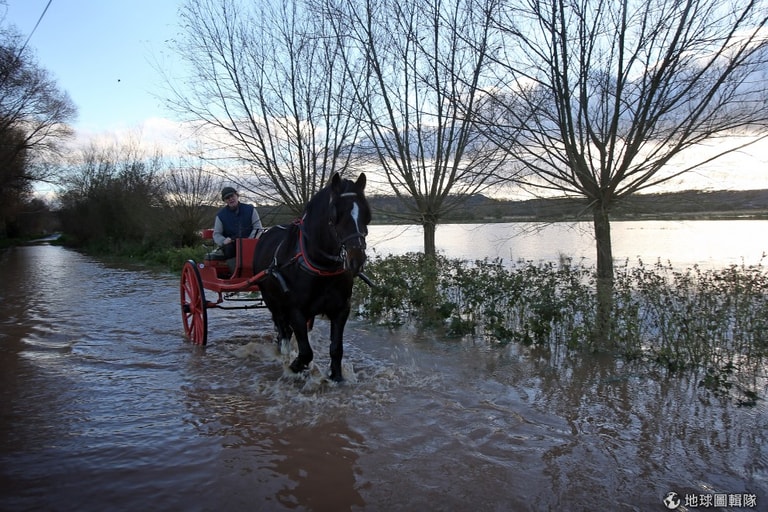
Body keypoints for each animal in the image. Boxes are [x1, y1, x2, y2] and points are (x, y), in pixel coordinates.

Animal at [254, 174, 370, 382]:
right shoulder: (295, 311)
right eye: (335, 215)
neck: (321, 266)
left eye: (366, 213)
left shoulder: (341, 309)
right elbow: (306, 352)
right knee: (283, 331)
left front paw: (336, 377)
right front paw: (294, 367)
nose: (356, 259)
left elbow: (336, 349)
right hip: (271, 300)